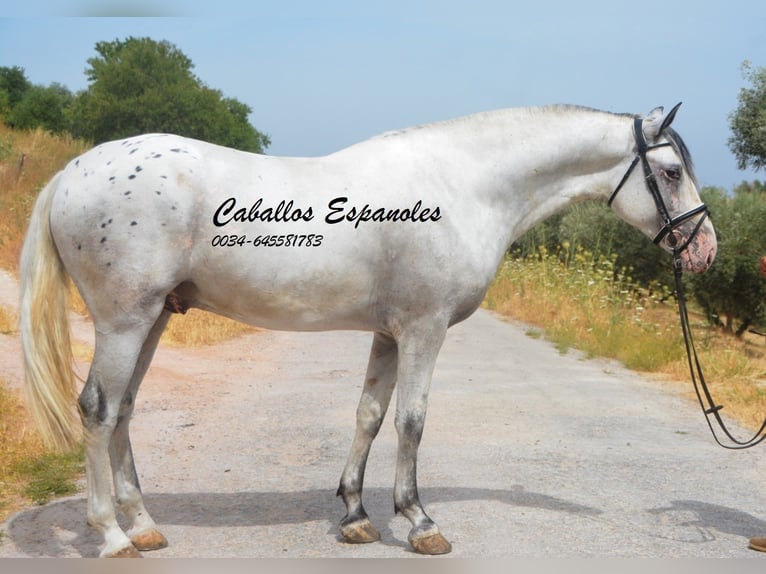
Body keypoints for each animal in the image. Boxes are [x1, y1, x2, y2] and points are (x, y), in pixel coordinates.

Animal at [19, 104, 716, 557]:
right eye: (671, 172)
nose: (705, 250)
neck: (463, 185)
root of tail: (73, 171)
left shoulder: (389, 333)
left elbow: (369, 416)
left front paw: (355, 515)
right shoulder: (424, 329)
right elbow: (412, 421)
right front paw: (420, 522)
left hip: (156, 316)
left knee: (125, 409)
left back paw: (144, 526)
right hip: (125, 320)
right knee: (98, 410)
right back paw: (113, 537)